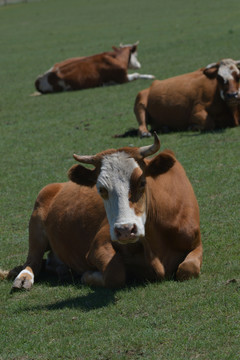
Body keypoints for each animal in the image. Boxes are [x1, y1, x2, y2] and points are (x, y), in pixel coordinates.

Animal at [0, 134, 202, 292]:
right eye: (101, 189)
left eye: (142, 182)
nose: (125, 230)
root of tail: (56, 186)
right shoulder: (98, 244)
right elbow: (115, 273)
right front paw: (88, 276)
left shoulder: (196, 241)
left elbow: (188, 268)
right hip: (36, 225)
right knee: (32, 261)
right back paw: (24, 278)